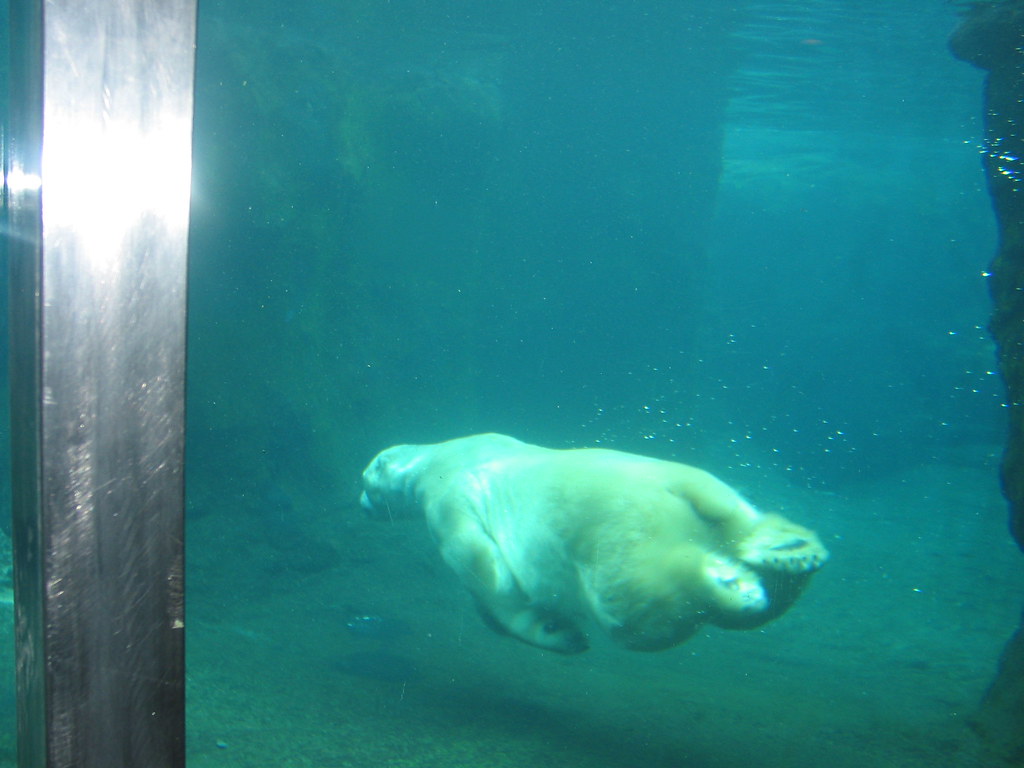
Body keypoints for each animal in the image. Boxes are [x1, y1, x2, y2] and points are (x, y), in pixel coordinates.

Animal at [359, 433, 828, 654]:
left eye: (366, 482)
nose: (360, 503)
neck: (437, 457)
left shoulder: (448, 500)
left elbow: (484, 572)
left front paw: (556, 630)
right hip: (700, 493)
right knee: (741, 529)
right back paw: (789, 552)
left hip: (614, 537)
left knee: (645, 607)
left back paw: (733, 584)